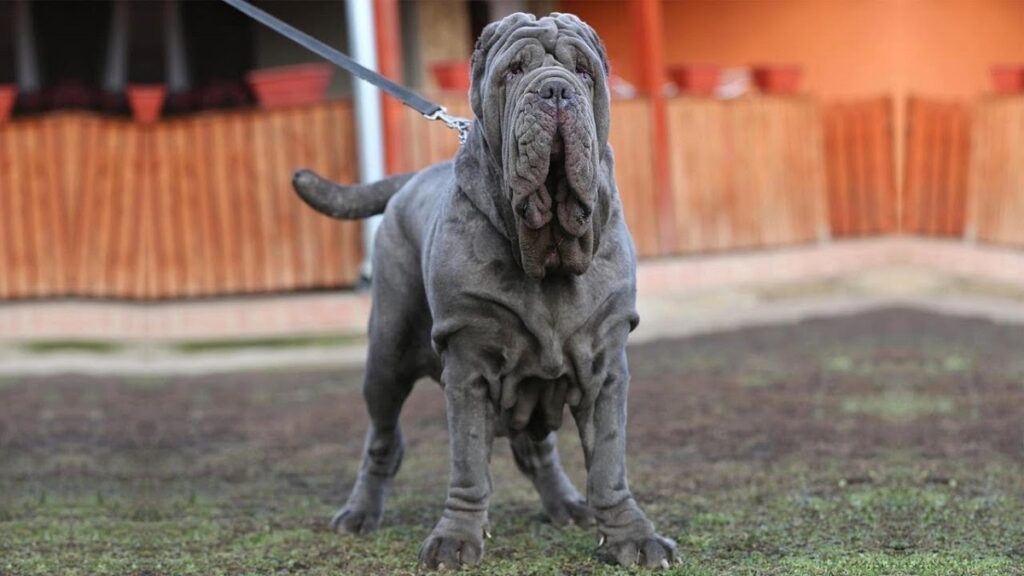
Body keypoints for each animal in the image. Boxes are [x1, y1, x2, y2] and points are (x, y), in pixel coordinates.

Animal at [290, 11, 671, 565]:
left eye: (583, 72)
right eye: (513, 71)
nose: (556, 89)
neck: (545, 251)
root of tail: (410, 178)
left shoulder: (606, 368)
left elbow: (608, 464)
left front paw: (632, 536)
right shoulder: (468, 363)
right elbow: (469, 462)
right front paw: (456, 538)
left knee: (535, 449)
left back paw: (566, 504)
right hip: (385, 357)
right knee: (384, 438)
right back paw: (359, 514)